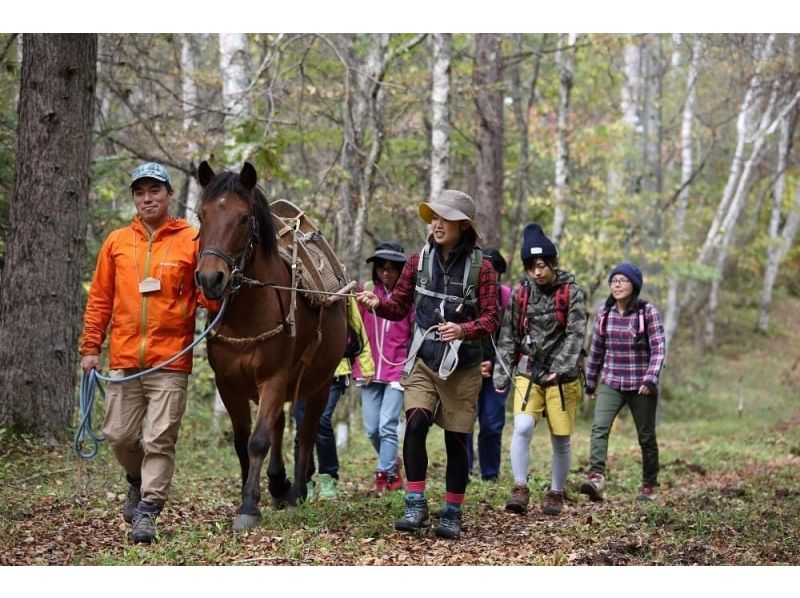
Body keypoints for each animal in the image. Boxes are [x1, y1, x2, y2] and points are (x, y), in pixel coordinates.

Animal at [196, 162, 346, 532]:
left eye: (243, 218)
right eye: (201, 215)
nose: (210, 279)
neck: (248, 314)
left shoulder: (275, 378)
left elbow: (259, 439)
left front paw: (250, 506)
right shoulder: (228, 383)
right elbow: (241, 441)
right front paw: (247, 491)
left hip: (320, 384)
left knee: (306, 434)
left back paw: (296, 492)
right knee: (279, 424)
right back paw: (278, 483)